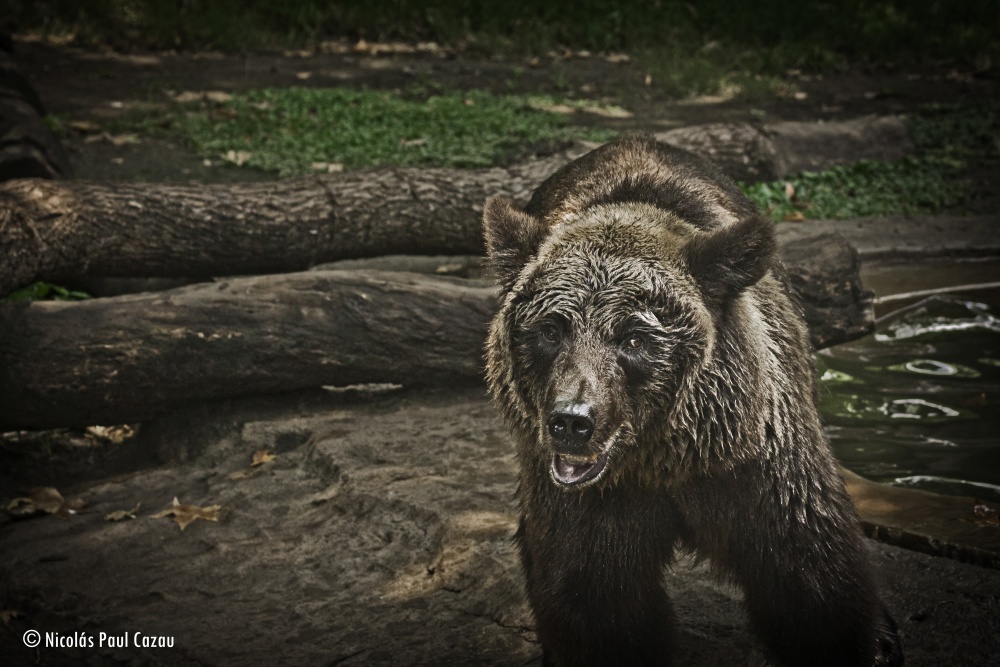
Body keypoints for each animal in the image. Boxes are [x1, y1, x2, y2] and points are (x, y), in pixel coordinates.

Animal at [480, 136, 904, 667]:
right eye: (551, 330)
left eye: (635, 337)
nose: (573, 421)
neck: (665, 459)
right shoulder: (589, 503)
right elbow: (594, 599)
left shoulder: (757, 467)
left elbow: (812, 580)